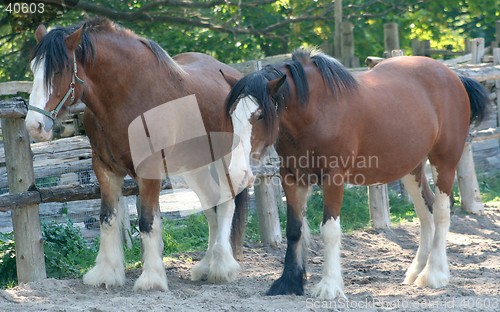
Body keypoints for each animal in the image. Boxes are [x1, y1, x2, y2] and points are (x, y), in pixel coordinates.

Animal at [24, 18, 252, 292]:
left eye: (59, 71)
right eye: (34, 70)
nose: (34, 125)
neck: (127, 98)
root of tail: (230, 76)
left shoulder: (150, 170)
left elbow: (147, 221)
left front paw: (152, 278)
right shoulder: (105, 168)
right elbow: (107, 218)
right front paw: (106, 273)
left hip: (224, 160)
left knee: (227, 203)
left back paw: (221, 267)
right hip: (194, 167)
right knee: (211, 205)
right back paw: (205, 267)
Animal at [227, 47, 488, 298]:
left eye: (260, 114)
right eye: (232, 115)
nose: (236, 169)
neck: (316, 110)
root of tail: (453, 76)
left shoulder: (334, 178)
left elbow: (330, 230)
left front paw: (329, 287)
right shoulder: (292, 177)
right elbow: (294, 229)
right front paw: (288, 283)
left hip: (444, 161)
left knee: (442, 211)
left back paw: (434, 274)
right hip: (411, 167)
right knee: (427, 213)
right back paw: (416, 272)